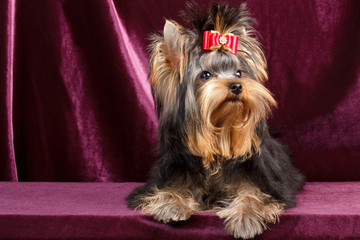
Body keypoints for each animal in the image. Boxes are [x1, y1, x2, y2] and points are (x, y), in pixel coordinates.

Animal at [126, 3, 304, 238]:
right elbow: (169, 190)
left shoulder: (269, 186)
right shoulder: (166, 178)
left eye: (238, 73)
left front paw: (246, 217)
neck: (218, 141)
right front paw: (172, 205)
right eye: (205, 75)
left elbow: (252, 194)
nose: (236, 86)